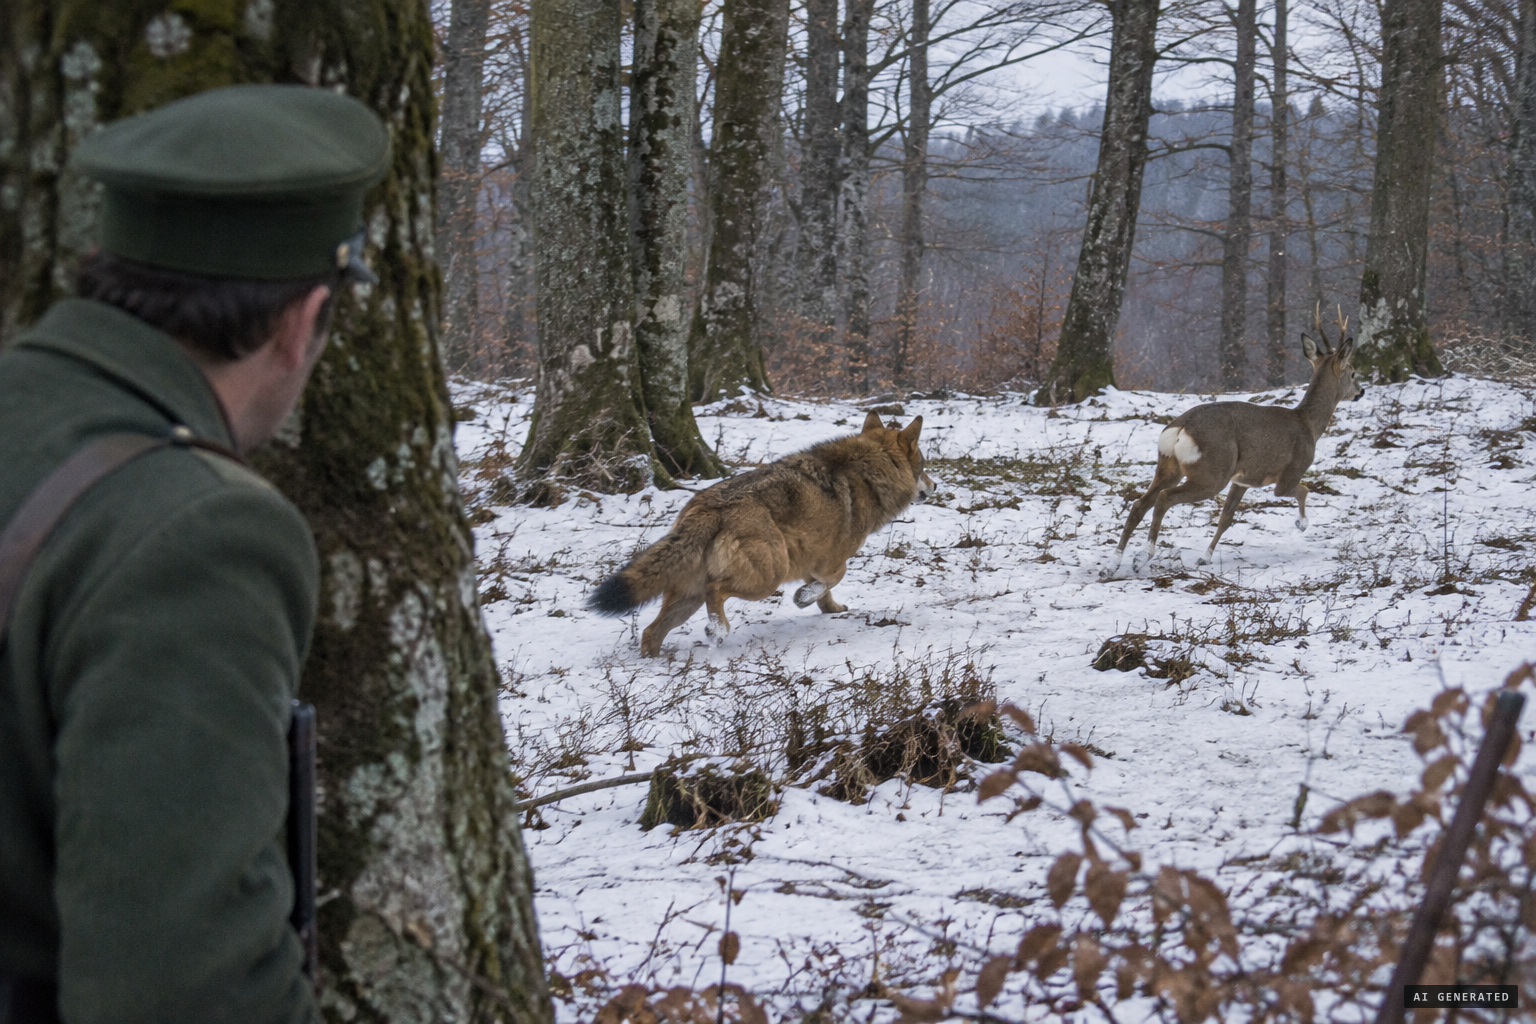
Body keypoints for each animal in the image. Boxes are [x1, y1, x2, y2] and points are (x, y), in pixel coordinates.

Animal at [1109, 306, 1364, 575]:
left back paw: (1113, 564)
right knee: (1165, 498)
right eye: (1352, 372)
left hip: (1169, 466)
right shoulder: (1290, 472)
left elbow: (1226, 518)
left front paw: (1205, 558)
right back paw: (1142, 557)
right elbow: (1302, 490)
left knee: (1139, 504)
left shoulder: (1242, 479)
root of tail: (1181, 429)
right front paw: (1302, 523)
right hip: (1212, 473)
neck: (1308, 425)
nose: (1361, 391)